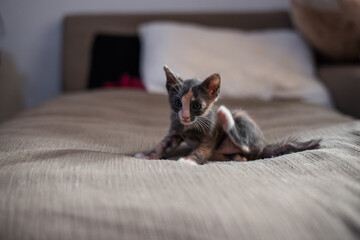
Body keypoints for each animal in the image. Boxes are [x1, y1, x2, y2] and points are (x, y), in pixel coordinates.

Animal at [135, 65, 320, 165]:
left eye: (196, 106)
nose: (185, 117)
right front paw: (148, 155)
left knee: (245, 144)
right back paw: (234, 157)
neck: (190, 126)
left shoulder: (210, 134)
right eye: (178, 103)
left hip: (240, 118)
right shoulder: (175, 131)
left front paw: (189, 160)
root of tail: (263, 145)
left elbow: (202, 149)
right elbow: (163, 145)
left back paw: (225, 116)